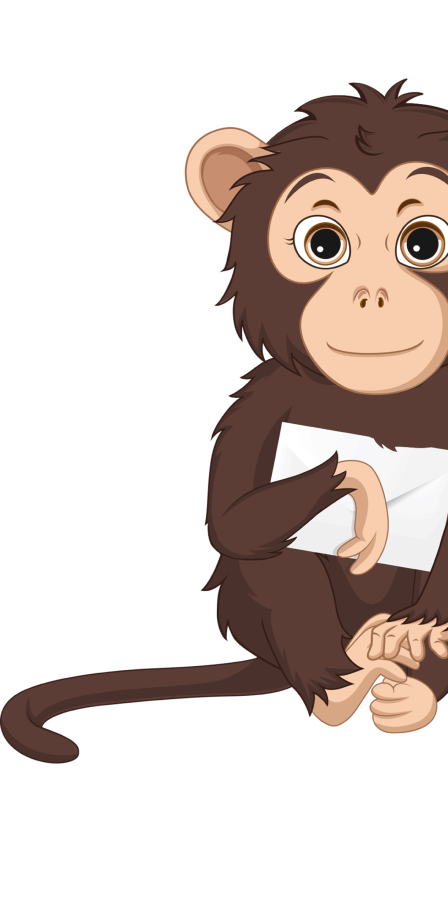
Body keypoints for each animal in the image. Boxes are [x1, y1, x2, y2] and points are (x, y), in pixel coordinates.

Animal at [1, 79, 447, 762]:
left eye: (423, 242)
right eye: (324, 243)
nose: (372, 296)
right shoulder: (257, 410)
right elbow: (233, 523)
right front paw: (364, 480)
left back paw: (411, 677)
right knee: (277, 556)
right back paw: (341, 685)